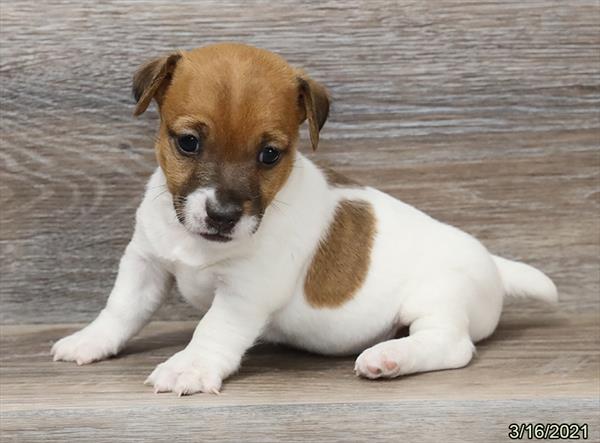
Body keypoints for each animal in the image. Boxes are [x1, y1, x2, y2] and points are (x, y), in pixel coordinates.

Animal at [50, 41, 556, 396]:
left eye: (270, 154)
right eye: (188, 143)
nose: (223, 215)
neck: (201, 245)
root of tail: (494, 265)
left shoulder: (246, 292)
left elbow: (212, 328)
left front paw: (189, 366)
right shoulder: (145, 264)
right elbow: (120, 309)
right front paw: (90, 340)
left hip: (438, 296)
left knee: (451, 344)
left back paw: (389, 358)